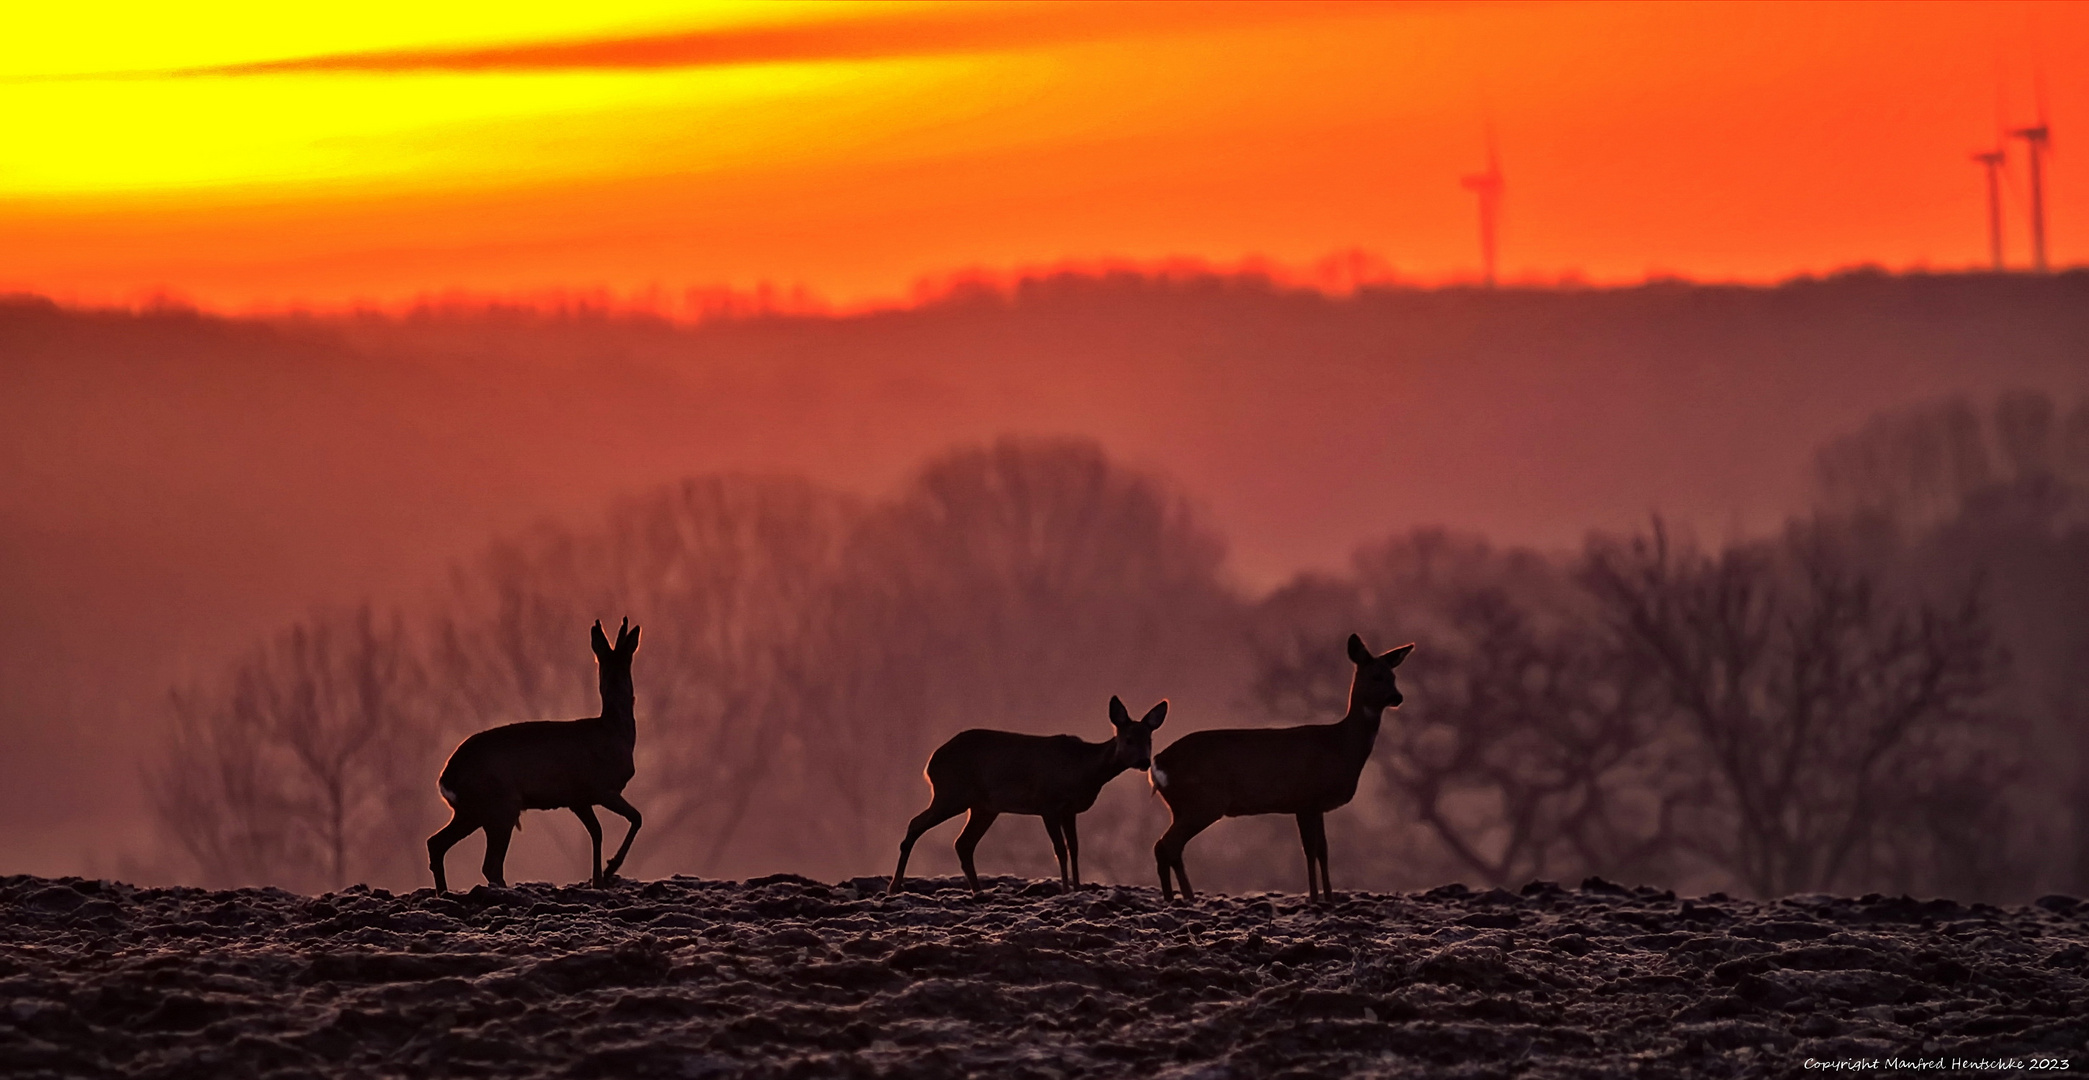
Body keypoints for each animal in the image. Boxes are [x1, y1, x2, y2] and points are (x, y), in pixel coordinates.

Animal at [426, 618, 643, 889]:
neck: (614, 731)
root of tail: (446, 779)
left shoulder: (578, 799)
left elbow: (597, 832)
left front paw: (598, 879)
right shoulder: (601, 788)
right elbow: (636, 818)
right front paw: (611, 867)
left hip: (473, 811)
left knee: (436, 843)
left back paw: (444, 891)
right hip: (501, 805)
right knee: (489, 865)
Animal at [1153, 630, 1412, 902]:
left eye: (1394, 676)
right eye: (1376, 676)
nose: (1397, 697)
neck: (1339, 745)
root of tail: (1157, 764)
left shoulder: (1316, 805)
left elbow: (1324, 850)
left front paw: (1329, 897)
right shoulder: (1306, 799)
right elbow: (1310, 850)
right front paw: (1315, 898)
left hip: (1181, 807)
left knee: (1169, 847)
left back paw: (1181, 897)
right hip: (1204, 802)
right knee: (1167, 845)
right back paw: (1182, 898)